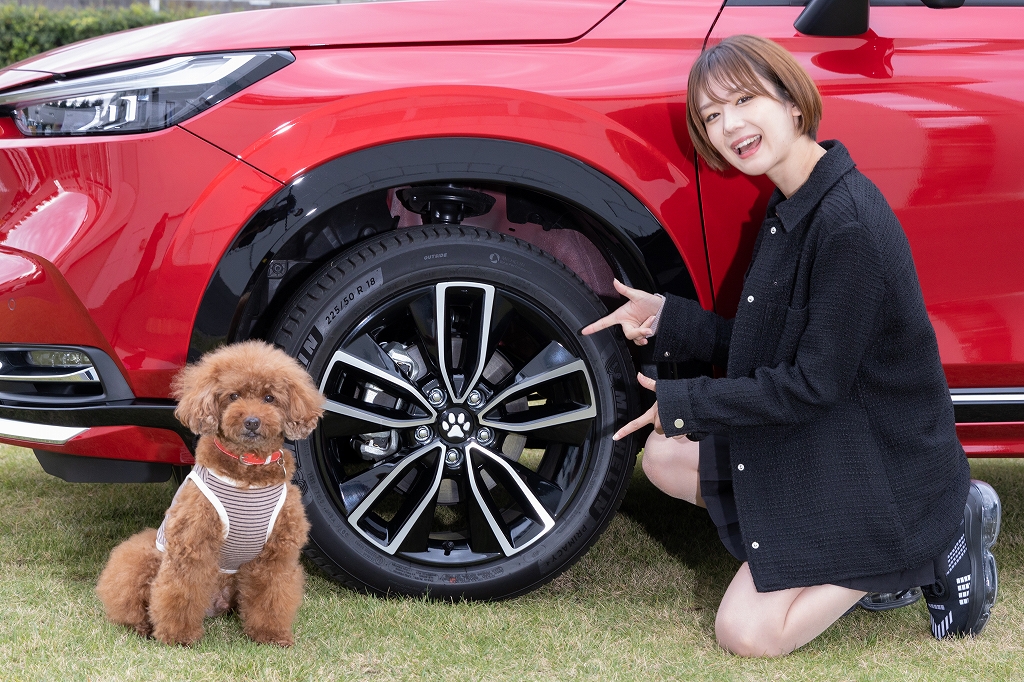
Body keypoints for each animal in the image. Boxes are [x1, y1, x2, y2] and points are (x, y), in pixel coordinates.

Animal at [96, 340, 324, 646]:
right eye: (233, 395)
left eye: (269, 398)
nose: (252, 422)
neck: (247, 471)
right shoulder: (193, 543)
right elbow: (181, 590)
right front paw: (178, 636)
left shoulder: (276, 553)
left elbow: (272, 596)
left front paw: (270, 635)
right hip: (146, 556)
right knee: (129, 597)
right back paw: (142, 626)